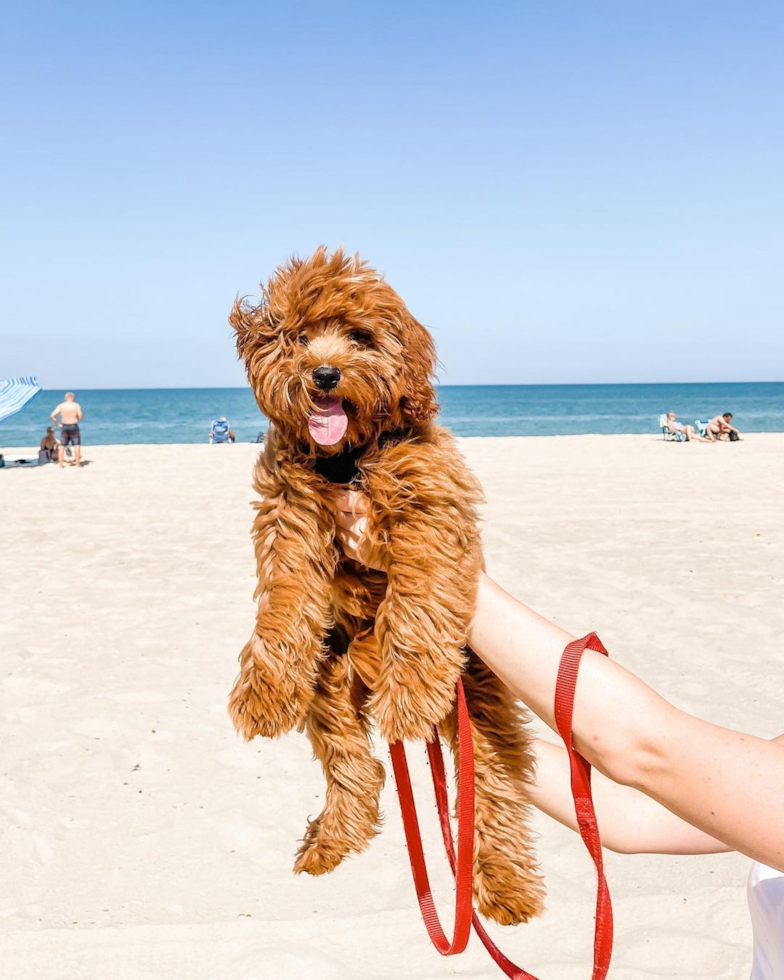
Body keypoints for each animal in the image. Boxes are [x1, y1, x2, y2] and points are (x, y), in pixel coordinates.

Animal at [227, 249, 544, 924]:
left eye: (360, 337)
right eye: (297, 337)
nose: (323, 374)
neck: (346, 459)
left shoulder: (429, 507)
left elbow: (417, 601)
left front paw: (410, 694)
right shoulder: (288, 515)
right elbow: (284, 599)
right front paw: (264, 693)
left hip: (477, 701)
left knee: (495, 789)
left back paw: (506, 885)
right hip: (328, 680)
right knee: (357, 767)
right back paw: (331, 839)